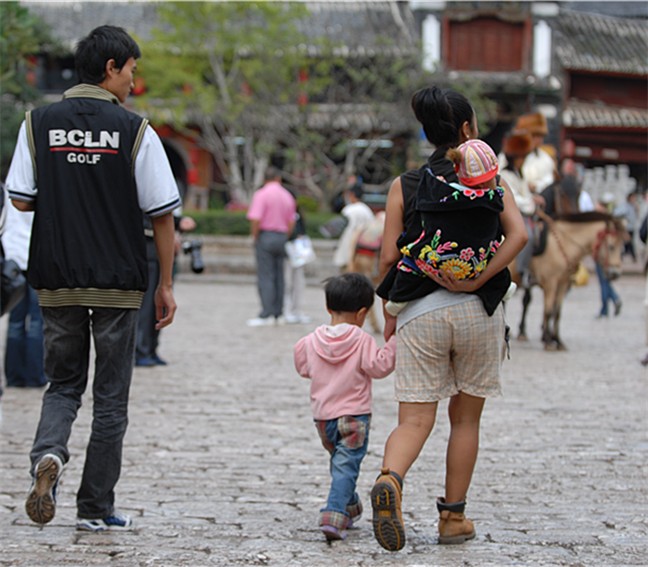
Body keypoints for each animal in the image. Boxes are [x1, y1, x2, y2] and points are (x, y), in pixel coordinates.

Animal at [512, 211, 628, 348]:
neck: (563, 244)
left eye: (622, 247)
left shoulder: (562, 283)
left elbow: (557, 312)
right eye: (611, 247)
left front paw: (557, 339)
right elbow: (548, 311)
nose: (615, 273)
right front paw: (548, 340)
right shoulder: (550, 283)